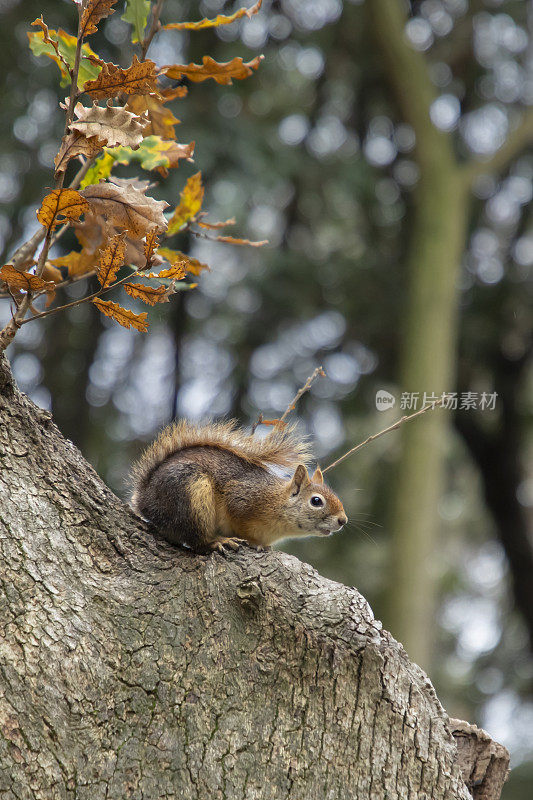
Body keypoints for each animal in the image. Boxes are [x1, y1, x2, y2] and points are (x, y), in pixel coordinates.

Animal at [130, 418, 348, 556]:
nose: (343, 520)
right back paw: (217, 542)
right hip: (190, 496)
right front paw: (254, 543)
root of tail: (146, 501)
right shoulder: (241, 500)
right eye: (316, 501)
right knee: (196, 540)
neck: (275, 501)